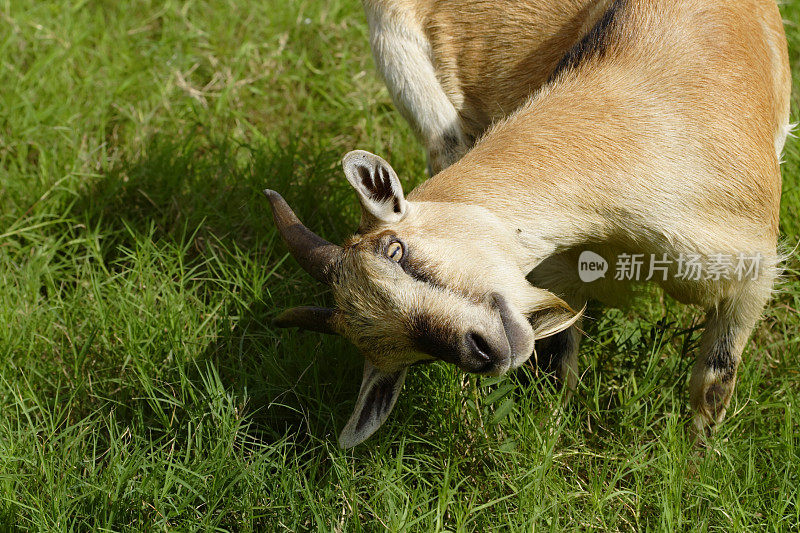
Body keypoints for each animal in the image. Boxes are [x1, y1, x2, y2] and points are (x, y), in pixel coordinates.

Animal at [264, 0, 792, 446]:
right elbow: (557, 369)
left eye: (395, 249)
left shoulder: (753, 270)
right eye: (412, 355)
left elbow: (713, 383)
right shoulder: (563, 269)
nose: (481, 352)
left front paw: (694, 461)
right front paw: (548, 444)